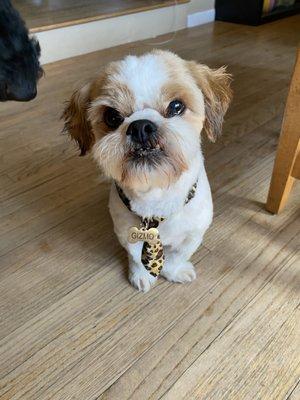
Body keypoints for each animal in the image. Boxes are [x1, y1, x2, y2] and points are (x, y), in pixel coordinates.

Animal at [62, 50, 232, 290]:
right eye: (112, 117)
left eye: (176, 106)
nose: (140, 126)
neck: (157, 195)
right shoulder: (126, 233)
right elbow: (136, 258)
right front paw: (142, 275)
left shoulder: (194, 233)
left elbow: (178, 255)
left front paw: (174, 271)